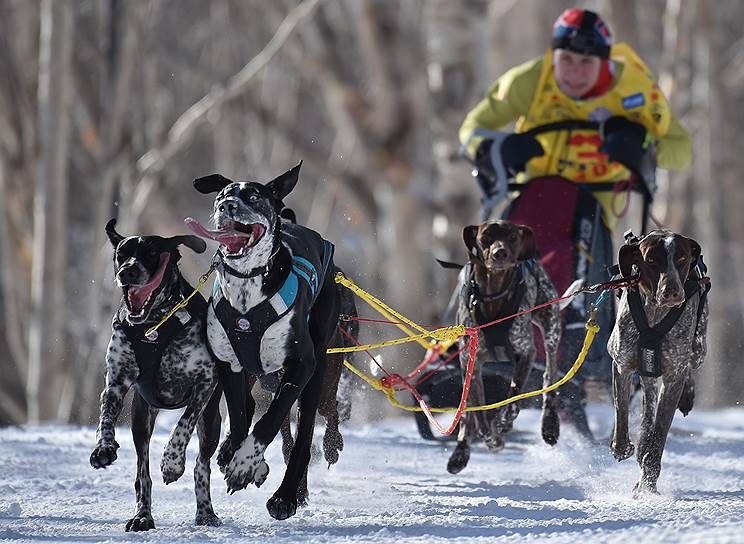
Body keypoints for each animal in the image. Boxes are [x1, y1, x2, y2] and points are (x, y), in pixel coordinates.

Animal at [90, 220, 221, 532]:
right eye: (121, 254)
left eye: (151, 252)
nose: (127, 272)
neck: (153, 327)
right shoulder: (116, 383)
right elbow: (105, 418)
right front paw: (104, 447)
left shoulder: (205, 382)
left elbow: (183, 424)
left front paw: (172, 462)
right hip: (141, 419)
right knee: (143, 474)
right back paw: (142, 515)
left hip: (212, 421)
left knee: (202, 465)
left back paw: (205, 512)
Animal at [189, 160, 354, 520]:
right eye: (222, 195)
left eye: (253, 196)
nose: (227, 206)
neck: (248, 293)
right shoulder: (230, 364)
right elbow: (240, 417)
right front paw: (243, 459)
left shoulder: (300, 366)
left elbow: (271, 419)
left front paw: (245, 466)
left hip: (318, 374)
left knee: (309, 431)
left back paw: (287, 495)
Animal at [444, 219, 560, 474]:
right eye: (485, 236)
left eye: (513, 237)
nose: (500, 253)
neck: (493, 296)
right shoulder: (471, 363)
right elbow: (477, 416)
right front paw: (489, 439)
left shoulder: (526, 352)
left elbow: (513, 400)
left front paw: (502, 423)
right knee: (467, 415)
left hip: (551, 330)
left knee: (550, 376)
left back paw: (549, 425)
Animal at [608, 230, 712, 498]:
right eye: (652, 260)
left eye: (682, 258)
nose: (672, 291)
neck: (654, 313)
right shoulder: (621, 366)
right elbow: (622, 413)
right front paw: (622, 447)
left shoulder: (674, 375)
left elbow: (659, 437)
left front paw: (648, 484)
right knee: (648, 406)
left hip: (698, 350)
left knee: (689, 368)